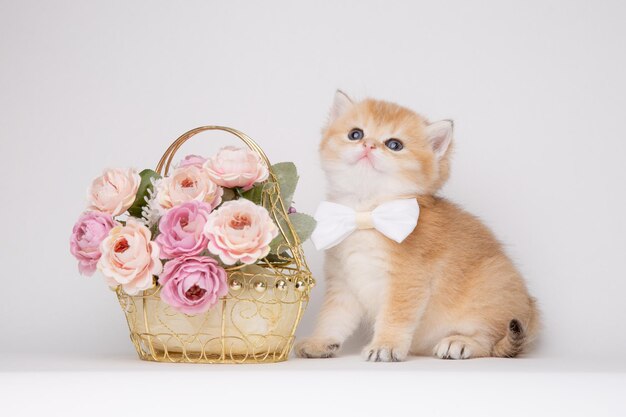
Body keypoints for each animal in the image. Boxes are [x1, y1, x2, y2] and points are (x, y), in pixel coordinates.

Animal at [296, 91, 536, 360]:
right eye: (355, 134)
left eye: (394, 145)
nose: (368, 145)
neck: (367, 211)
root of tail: (532, 312)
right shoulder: (342, 282)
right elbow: (333, 317)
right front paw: (320, 342)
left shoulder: (408, 280)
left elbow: (394, 316)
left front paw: (385, 345)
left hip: (492, 287)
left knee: (489, 341)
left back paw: (460, 342)